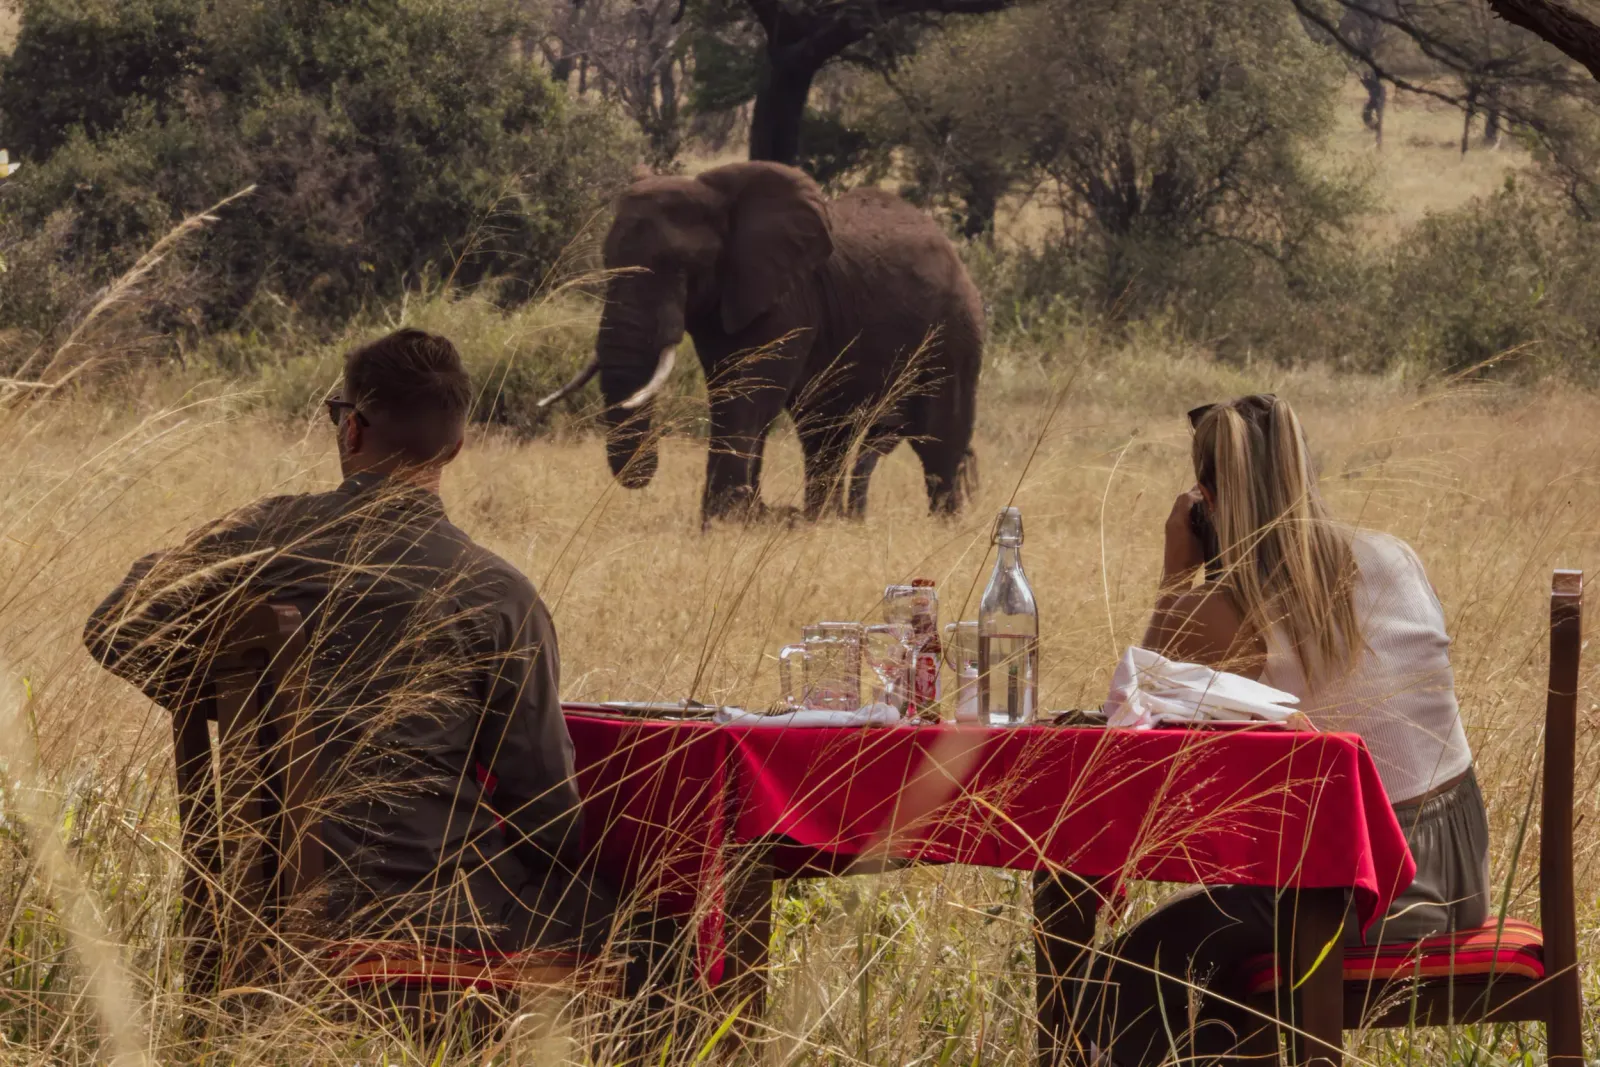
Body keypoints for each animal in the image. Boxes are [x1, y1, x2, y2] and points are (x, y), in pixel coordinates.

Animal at [540, 161, 984, 523]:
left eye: (681, 268)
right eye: (607, 262)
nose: (643, 474)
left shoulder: (787, 297)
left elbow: (748, 393)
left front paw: (727, 522)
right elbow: (732, 389)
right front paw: (750, 516)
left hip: (954, 331)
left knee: (939, 440)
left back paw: (943, 526)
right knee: (825, 434)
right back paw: (820, 520)